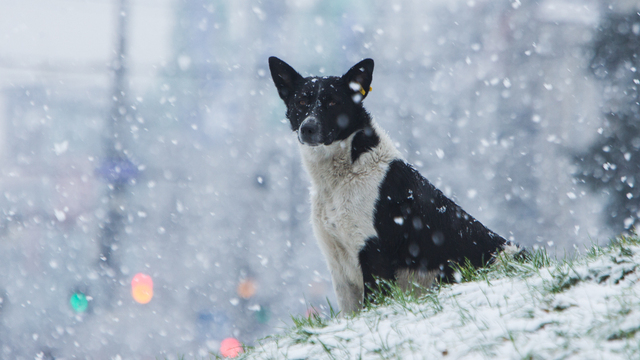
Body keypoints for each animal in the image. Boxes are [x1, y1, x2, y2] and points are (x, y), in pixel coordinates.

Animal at [268, 56, 516, 316]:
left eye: (333, 102)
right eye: (302, 101)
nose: (308, 128)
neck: (344, 176)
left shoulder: (373, 254)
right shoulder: (338, 264)